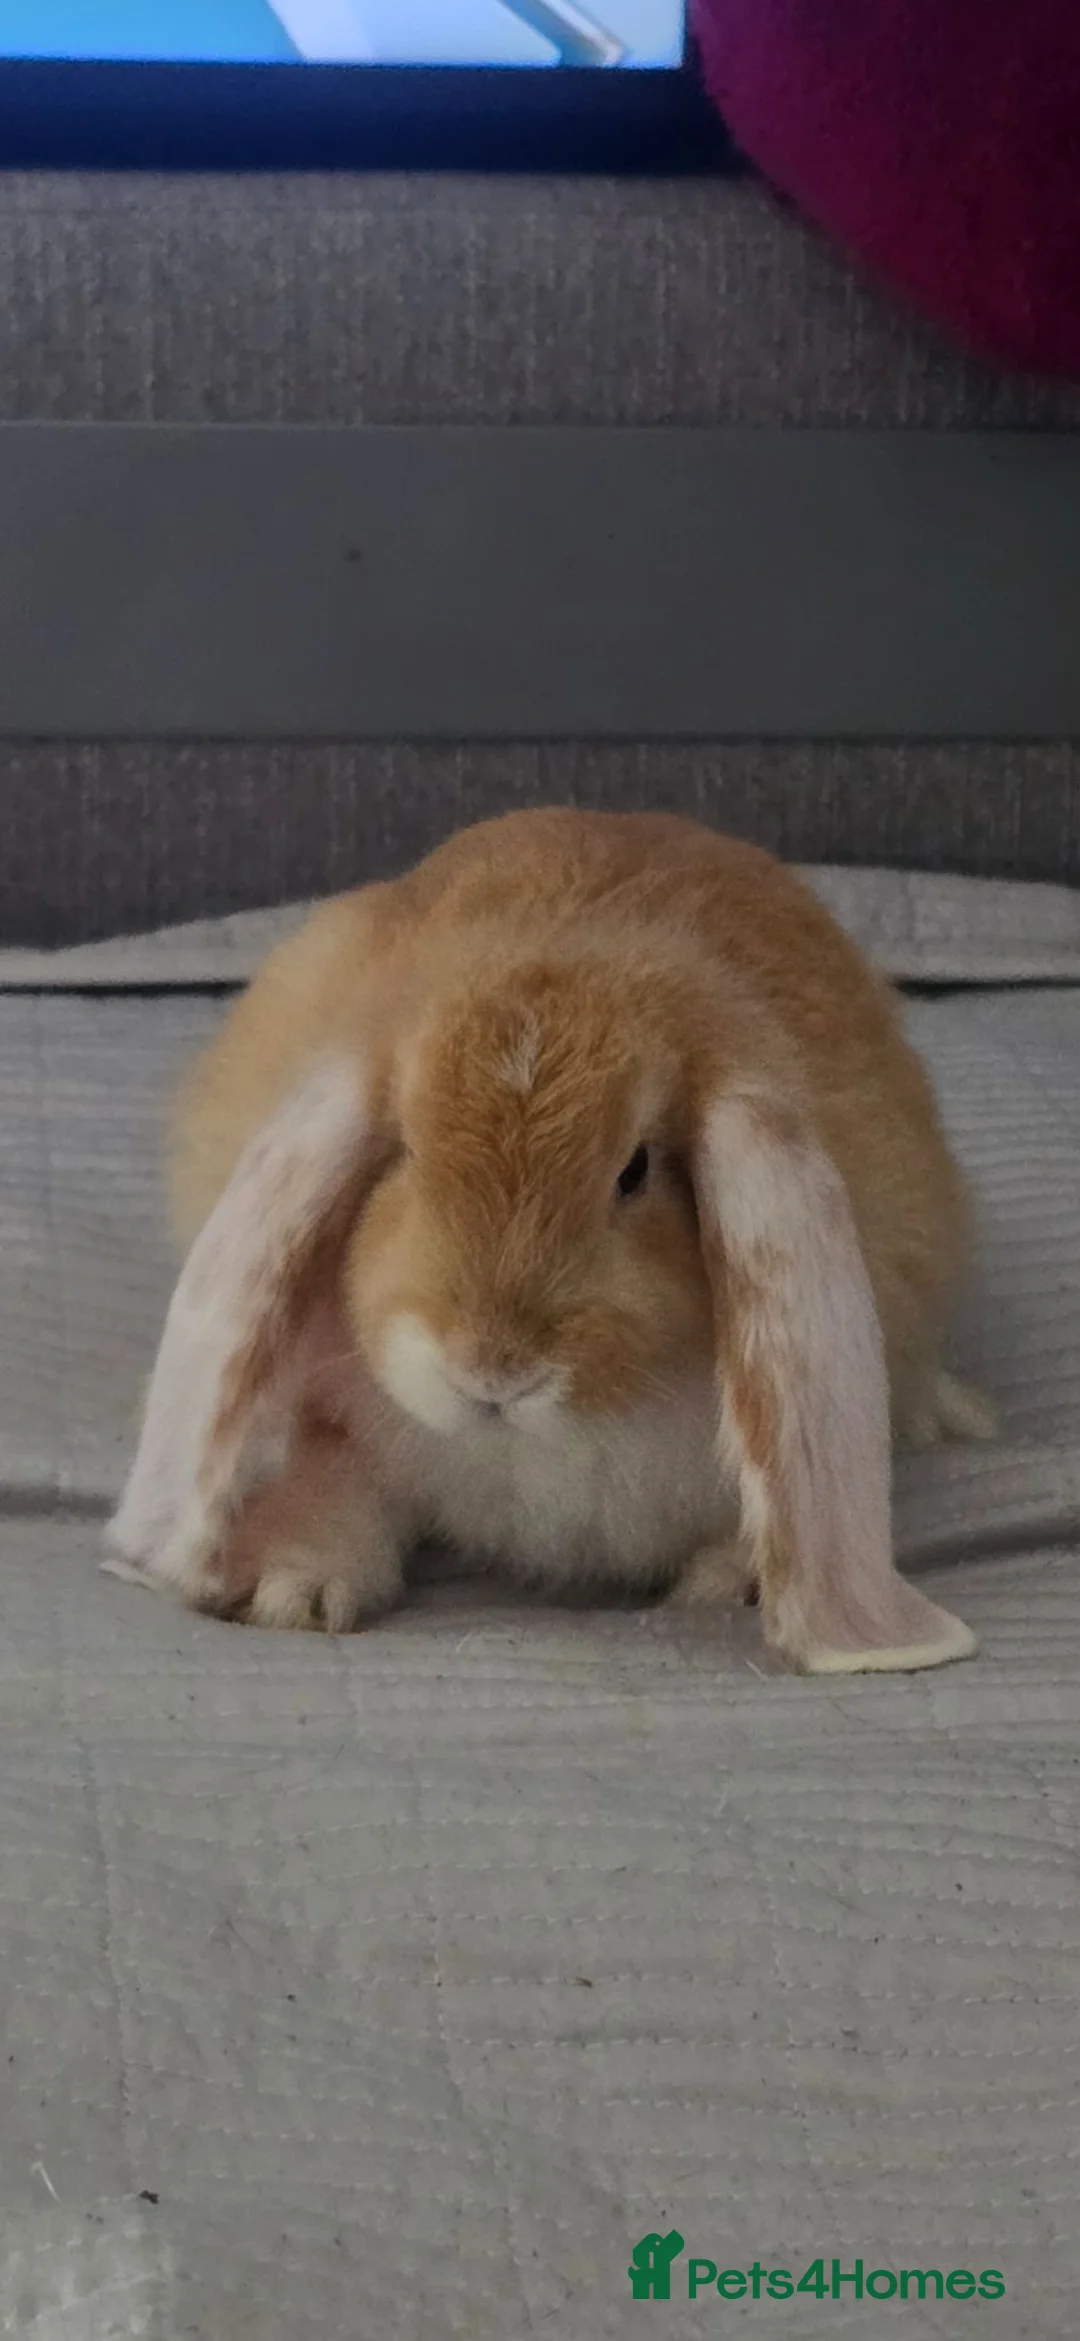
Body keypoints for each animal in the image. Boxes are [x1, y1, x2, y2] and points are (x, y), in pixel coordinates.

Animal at [106, 808, 996, 1674]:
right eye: (405, 1150)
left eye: (635, 1169)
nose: (492, 1368)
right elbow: (338, 1484)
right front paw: (293, 1591)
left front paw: (729, 1585)